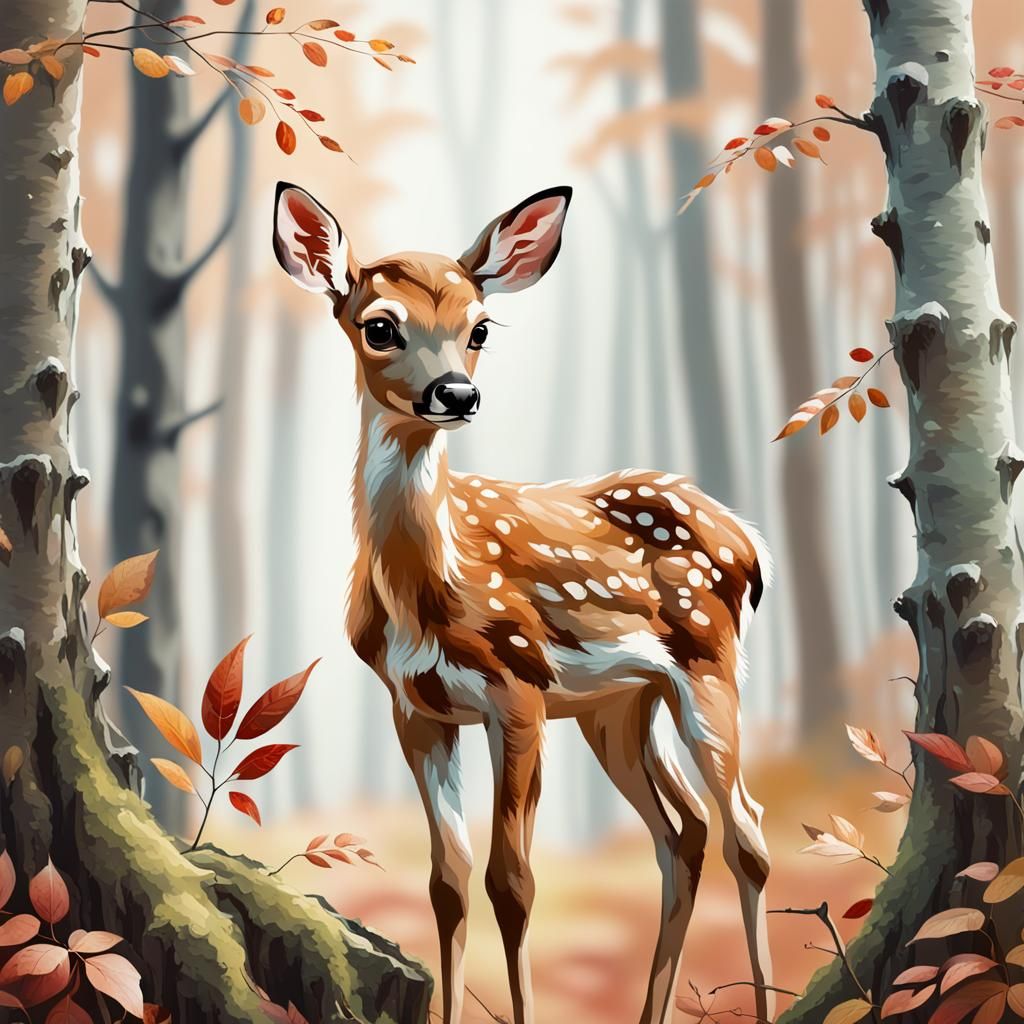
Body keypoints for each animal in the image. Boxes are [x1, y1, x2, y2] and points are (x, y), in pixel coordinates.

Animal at [272, 181, 775, 1024]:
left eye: (479, 327)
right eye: (379, 326)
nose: (457, 393)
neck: (427, 594)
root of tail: (749, 542)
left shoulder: (520, 690)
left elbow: (512, 882)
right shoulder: (417, 708)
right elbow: (447, 882)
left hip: (708, 664)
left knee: (749, 837)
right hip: (621, 706)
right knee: (685, 832)